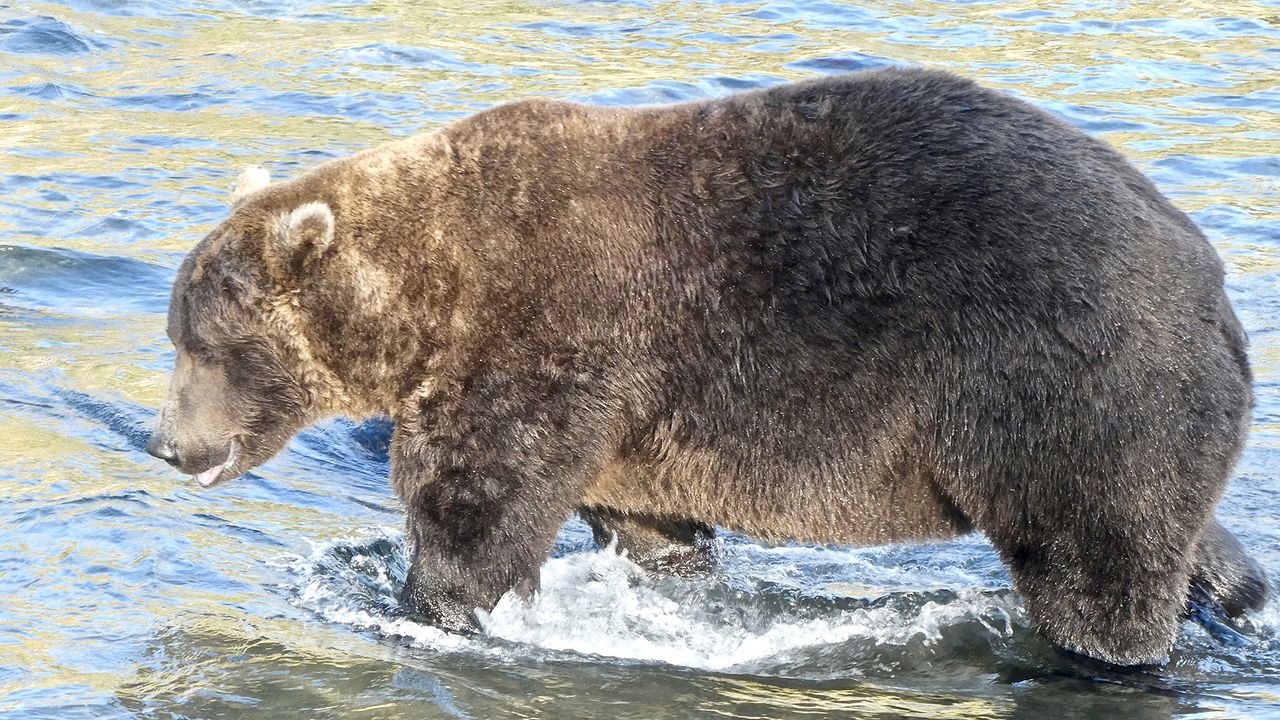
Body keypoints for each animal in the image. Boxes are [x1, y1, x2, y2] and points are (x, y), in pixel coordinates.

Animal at [146, 67, 1267, 666]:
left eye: (203, 343)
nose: (165, 443)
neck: (427, 294)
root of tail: (1212, 278)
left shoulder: (545, 344)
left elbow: (476, 508)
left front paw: (433, 604)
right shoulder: (630, 422)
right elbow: (650, 528)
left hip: (1072, 380)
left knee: (1096, 564)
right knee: (1176, 534)